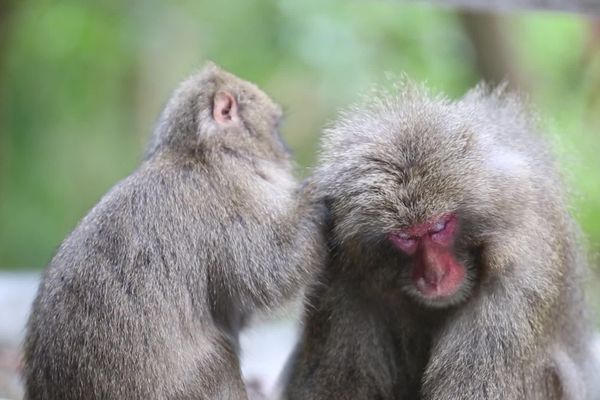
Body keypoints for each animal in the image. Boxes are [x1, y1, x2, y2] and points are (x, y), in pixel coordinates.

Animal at [22, 62, 324, 400]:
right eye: (275, 126)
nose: (287, 149)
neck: (195, 152)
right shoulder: (232, 196)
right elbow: (270, 273)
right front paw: (314, 200)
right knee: (218, 358)